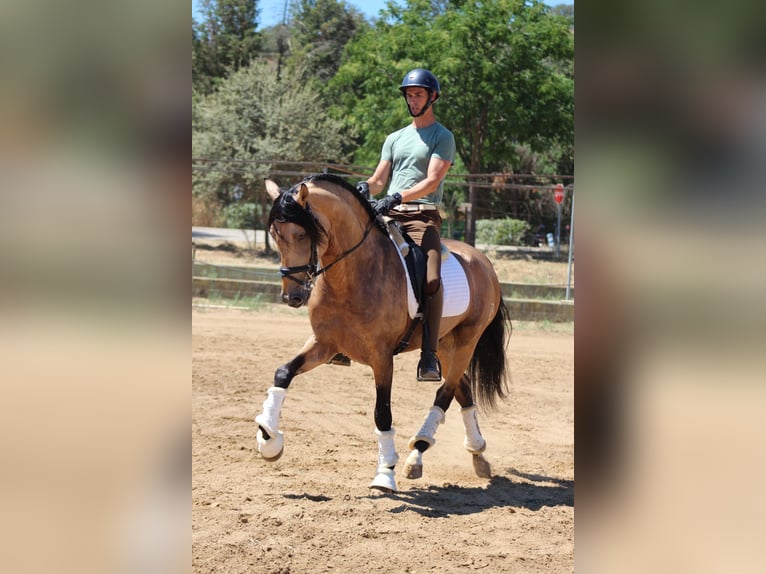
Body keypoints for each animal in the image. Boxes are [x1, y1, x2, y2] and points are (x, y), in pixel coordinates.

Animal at [255, 173, 512, 492]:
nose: (292, 297)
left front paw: (385, 473)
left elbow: (382, 412)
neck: (351, 275)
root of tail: (483, 261)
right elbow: (283, 373)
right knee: (462, 390)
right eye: (275, 234)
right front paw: (268, 439)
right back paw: (473, 453)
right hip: (442, 343)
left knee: (446, 392)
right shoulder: (323, 343)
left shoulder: (381, 357)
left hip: (466, 340)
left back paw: (420, 448)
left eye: (302, 234)